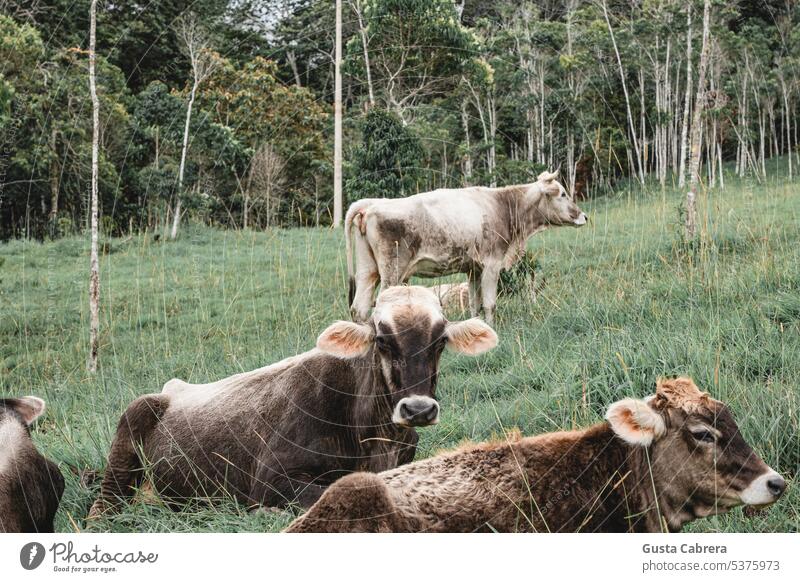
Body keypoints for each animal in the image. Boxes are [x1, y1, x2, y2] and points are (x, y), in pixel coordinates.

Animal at [346, 171, 588, 326]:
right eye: (563, 194)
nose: (584, 216)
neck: (503, 206)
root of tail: (372, 204)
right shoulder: (492, 265)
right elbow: (490, 304)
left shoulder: (473, 269)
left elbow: (475, 304)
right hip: (392, 273)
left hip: (368, 271)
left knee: (359, 308)